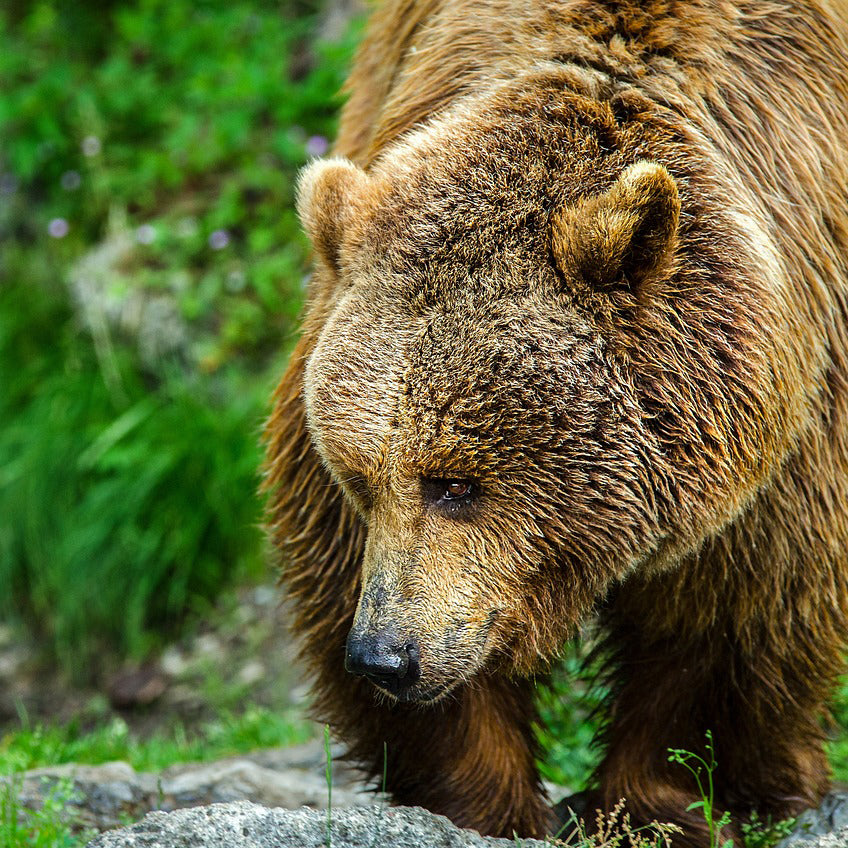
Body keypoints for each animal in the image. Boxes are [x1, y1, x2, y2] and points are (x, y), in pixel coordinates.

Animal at [264, 3, 848, 844]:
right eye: (359, 479)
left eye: (456, 483)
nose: (385, 658)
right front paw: (486, 799)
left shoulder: (790, 423)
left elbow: (733, 616)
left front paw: (664, 801)